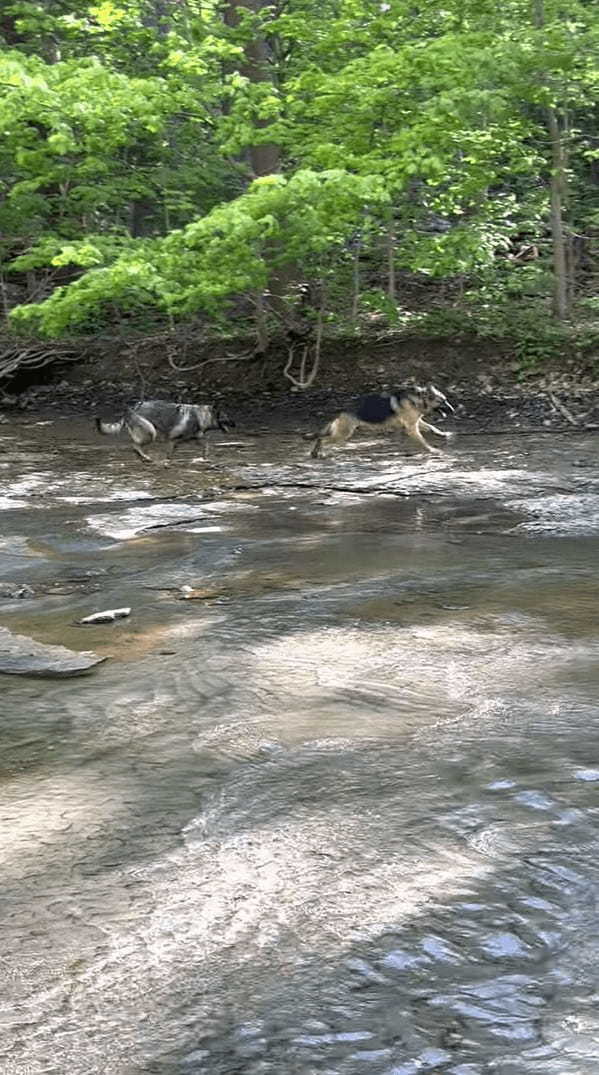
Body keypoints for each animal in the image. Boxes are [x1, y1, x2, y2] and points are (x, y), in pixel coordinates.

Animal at [95, 395, 231, 462]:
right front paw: (167, 461)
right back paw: (145, 457)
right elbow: (169, 454)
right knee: (135, 445)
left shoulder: (193, 439)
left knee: (135, 447)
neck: (201, 416)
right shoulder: (172, 440)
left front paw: (205, 457)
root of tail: (133, 408)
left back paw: (142, 457)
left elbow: (206, 446)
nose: (234, 424)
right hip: (151, 433)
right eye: (226, 417)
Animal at [309, 382, 455, 457]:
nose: (453, 410)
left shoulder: (416, 422)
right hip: (343, 434)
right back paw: (318, 452)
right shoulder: (411, 427)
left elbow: (432, 428)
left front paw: (442, 434)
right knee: (322, 439)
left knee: (321, 438)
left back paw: (315, 453)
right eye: (442, 402)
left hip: (342, 433)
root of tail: (341, 411)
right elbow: (423, 441)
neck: (418, 400)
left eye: (446, 400)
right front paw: (431, 450)